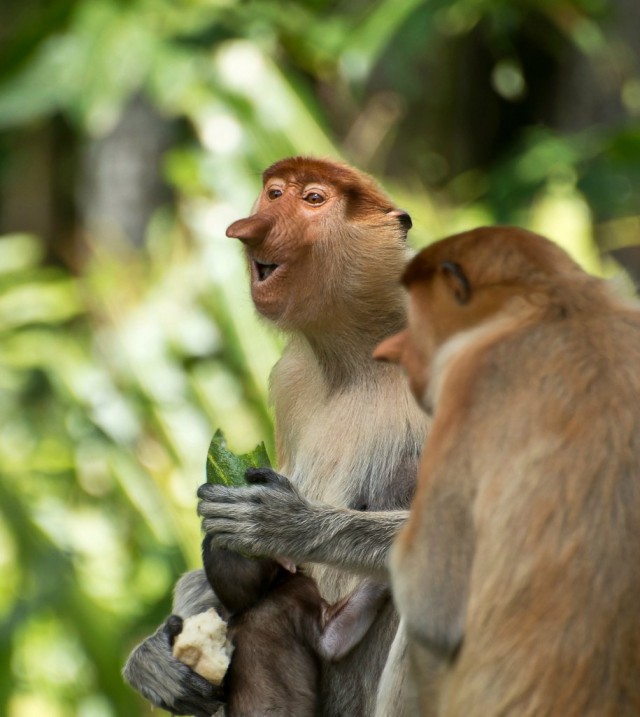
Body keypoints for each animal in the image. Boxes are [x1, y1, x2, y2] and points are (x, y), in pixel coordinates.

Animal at [122, 158, 428, 716]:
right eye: (273, 194)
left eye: (314, 199)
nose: (248, 228)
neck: (357, 355)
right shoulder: (292, 377)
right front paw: (153, 661)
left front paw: (282, 522)